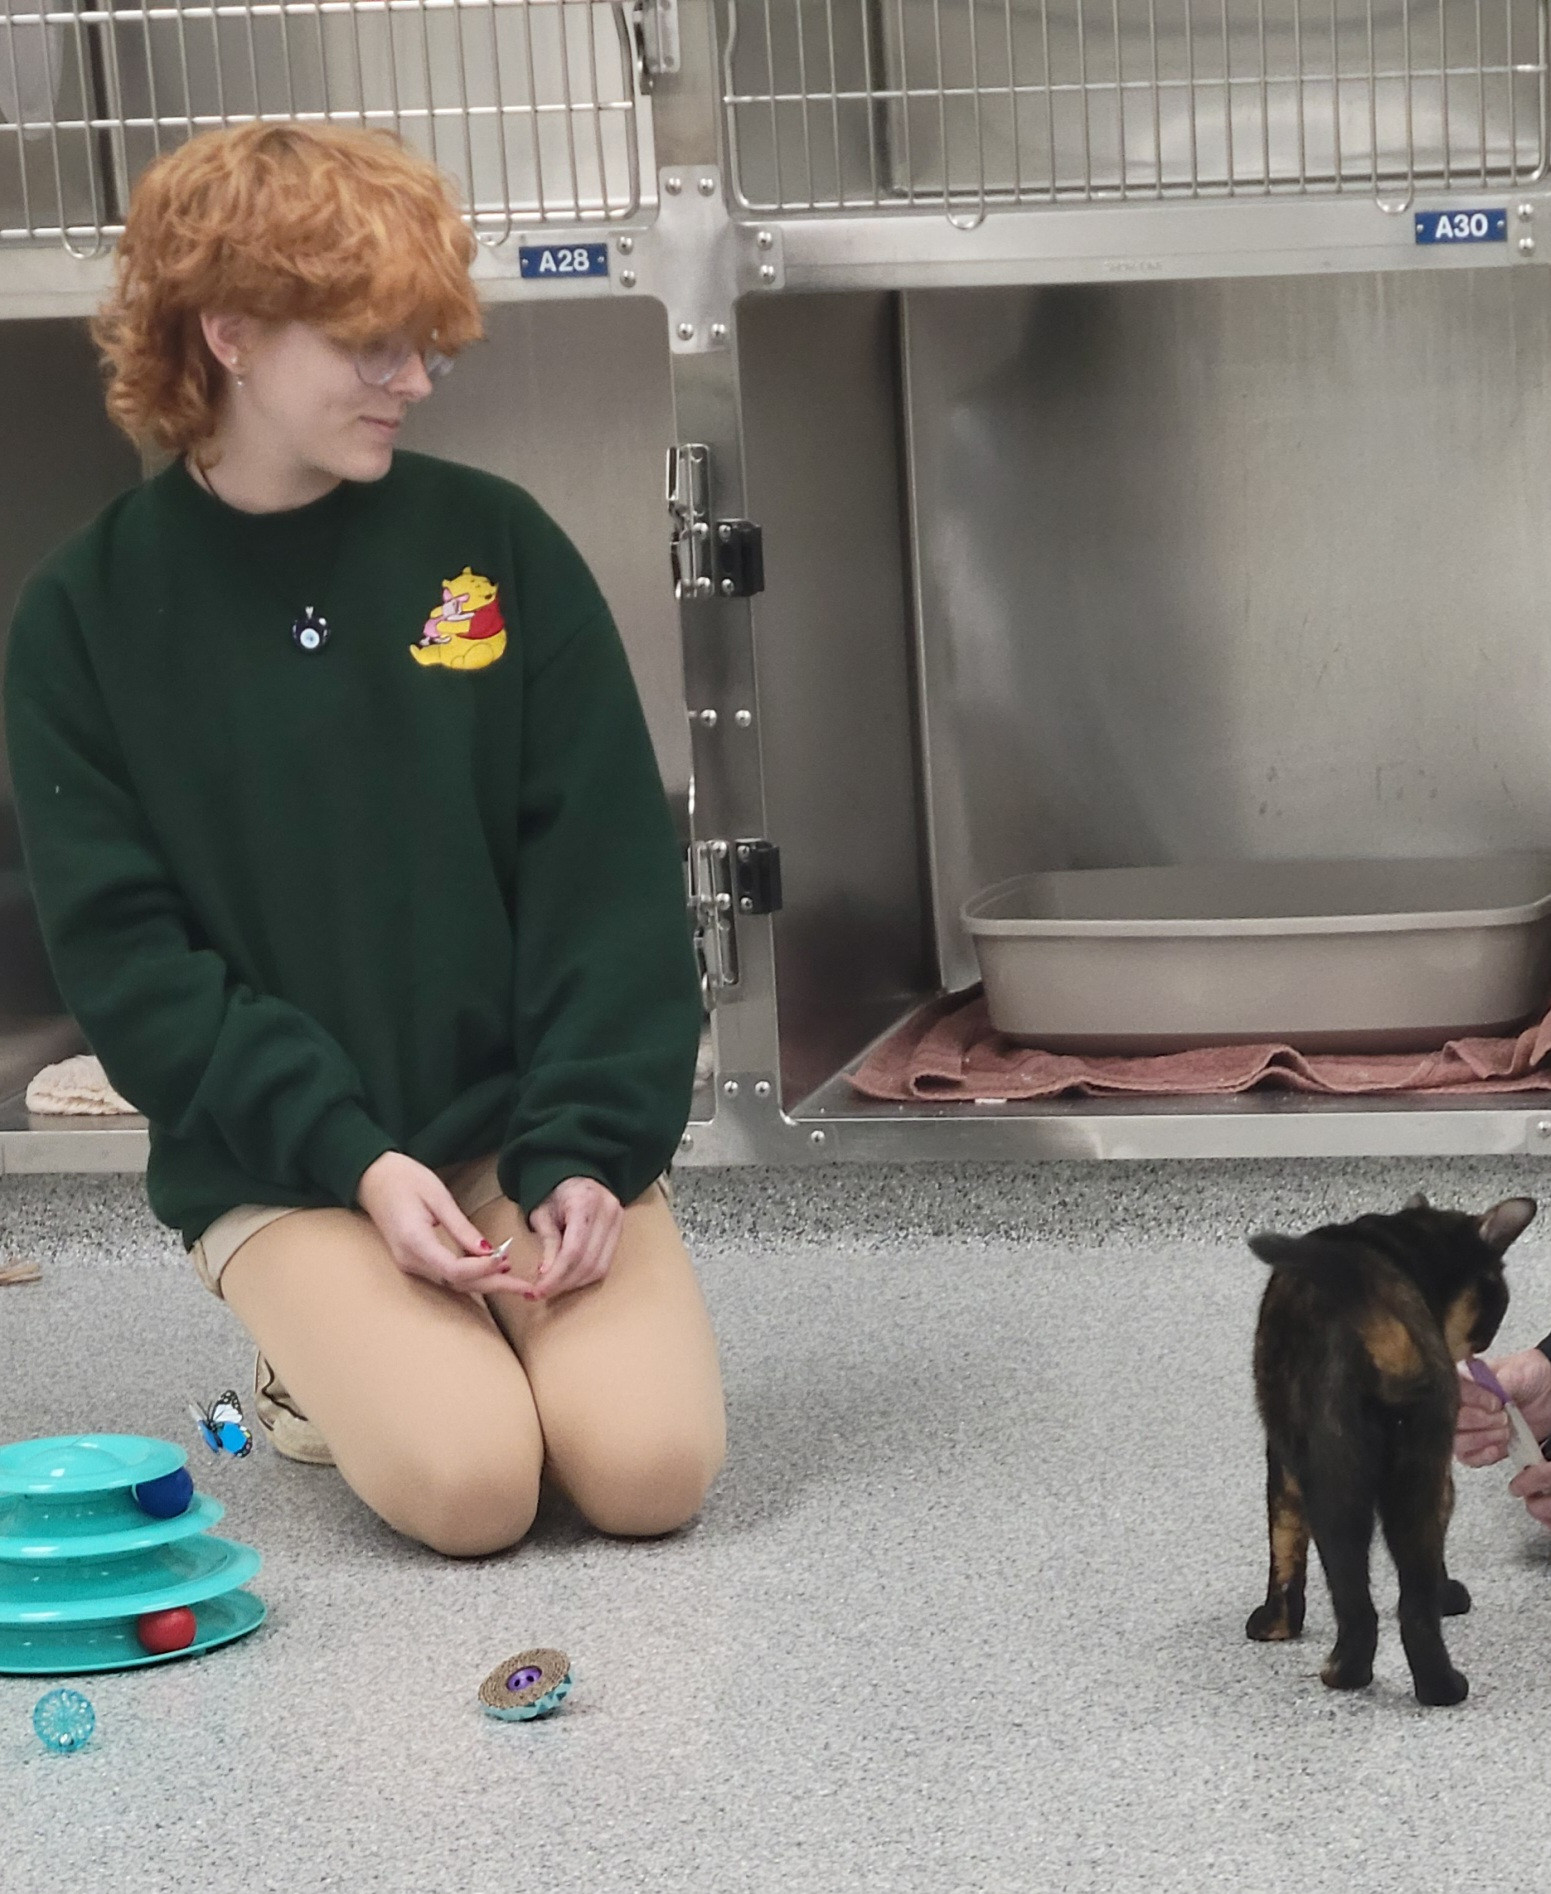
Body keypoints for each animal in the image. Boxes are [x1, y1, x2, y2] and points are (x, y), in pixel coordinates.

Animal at [1245, 1191, 1536, 1706]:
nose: (1482, 1344)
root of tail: (1381, 1316)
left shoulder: (1282, 1459)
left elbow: (1284, 1543)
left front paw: (1274, 1624)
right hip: (1418, 1479)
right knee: (1416, 1606)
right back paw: (1442, 1688)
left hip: (1338, 1488)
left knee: (1357, 1603)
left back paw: (1344, 1673)